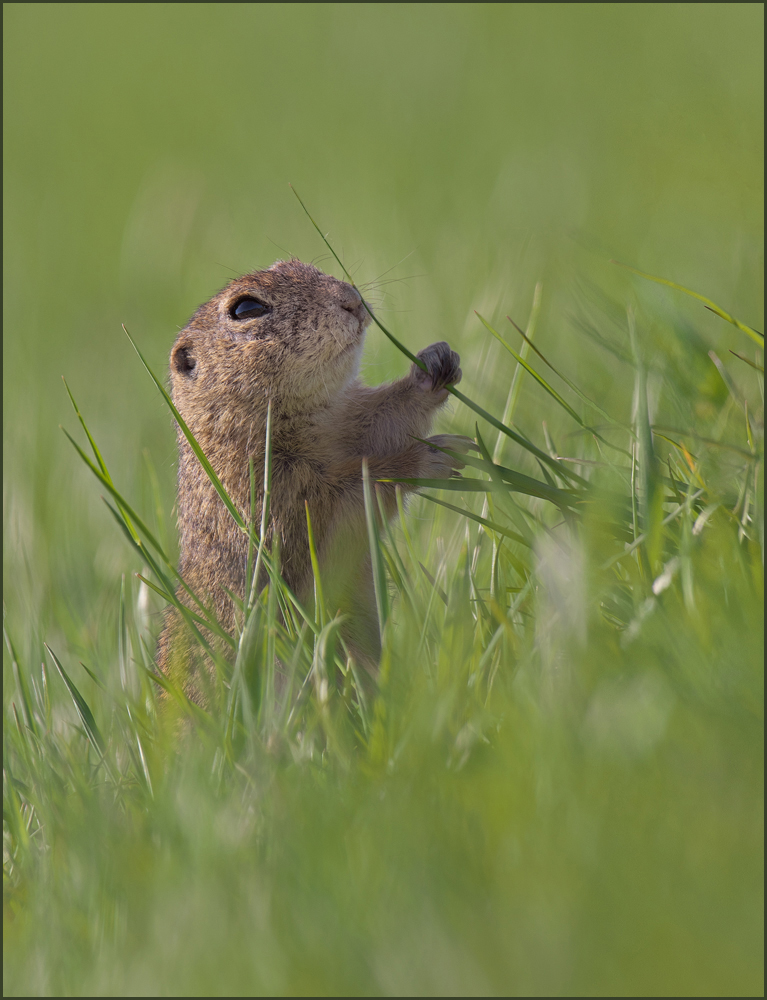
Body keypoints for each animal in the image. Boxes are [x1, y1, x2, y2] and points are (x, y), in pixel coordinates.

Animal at [158, 258, 472, 696]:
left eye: (296, 264)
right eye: (246, 308)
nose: (352, 299)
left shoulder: (351, 422)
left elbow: (389, 417)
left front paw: (433, 367)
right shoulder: (272, 497)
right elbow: (347, 497)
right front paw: (428, 457)